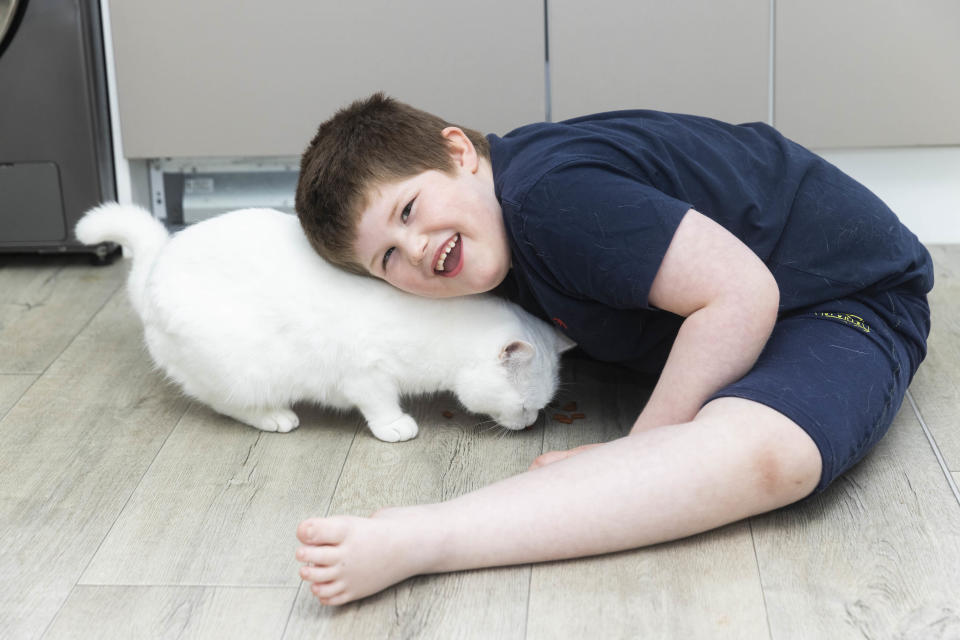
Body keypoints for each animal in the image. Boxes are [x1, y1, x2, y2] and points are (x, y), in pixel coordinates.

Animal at [79, 204, 572, 440]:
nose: (530, 424)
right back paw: (276, 417)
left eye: (536, 409)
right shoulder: (364, 372)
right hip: (242, 369)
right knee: (226, 403)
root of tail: (153, 273)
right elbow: (379, 403)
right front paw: (395, 426)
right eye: (524, 406)